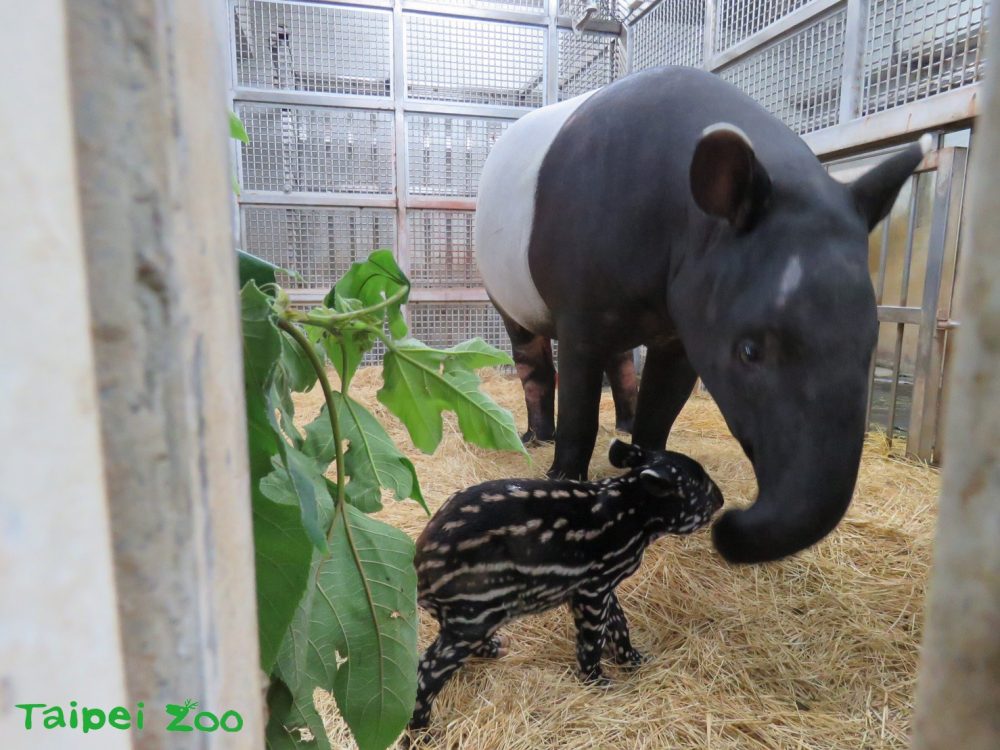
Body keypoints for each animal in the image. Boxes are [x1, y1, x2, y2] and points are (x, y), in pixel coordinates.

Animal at [408, 440, 728, 736]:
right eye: (700, 482)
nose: (722, 500)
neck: (633, 512)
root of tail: (420, 564)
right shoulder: (593, 588)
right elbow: (592, 638)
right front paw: (598, 681)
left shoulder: (602, 585)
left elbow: (619, 623)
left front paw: (634, 661)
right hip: (475, 607)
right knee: (427, 668)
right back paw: (422, 730)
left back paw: (496, 647)